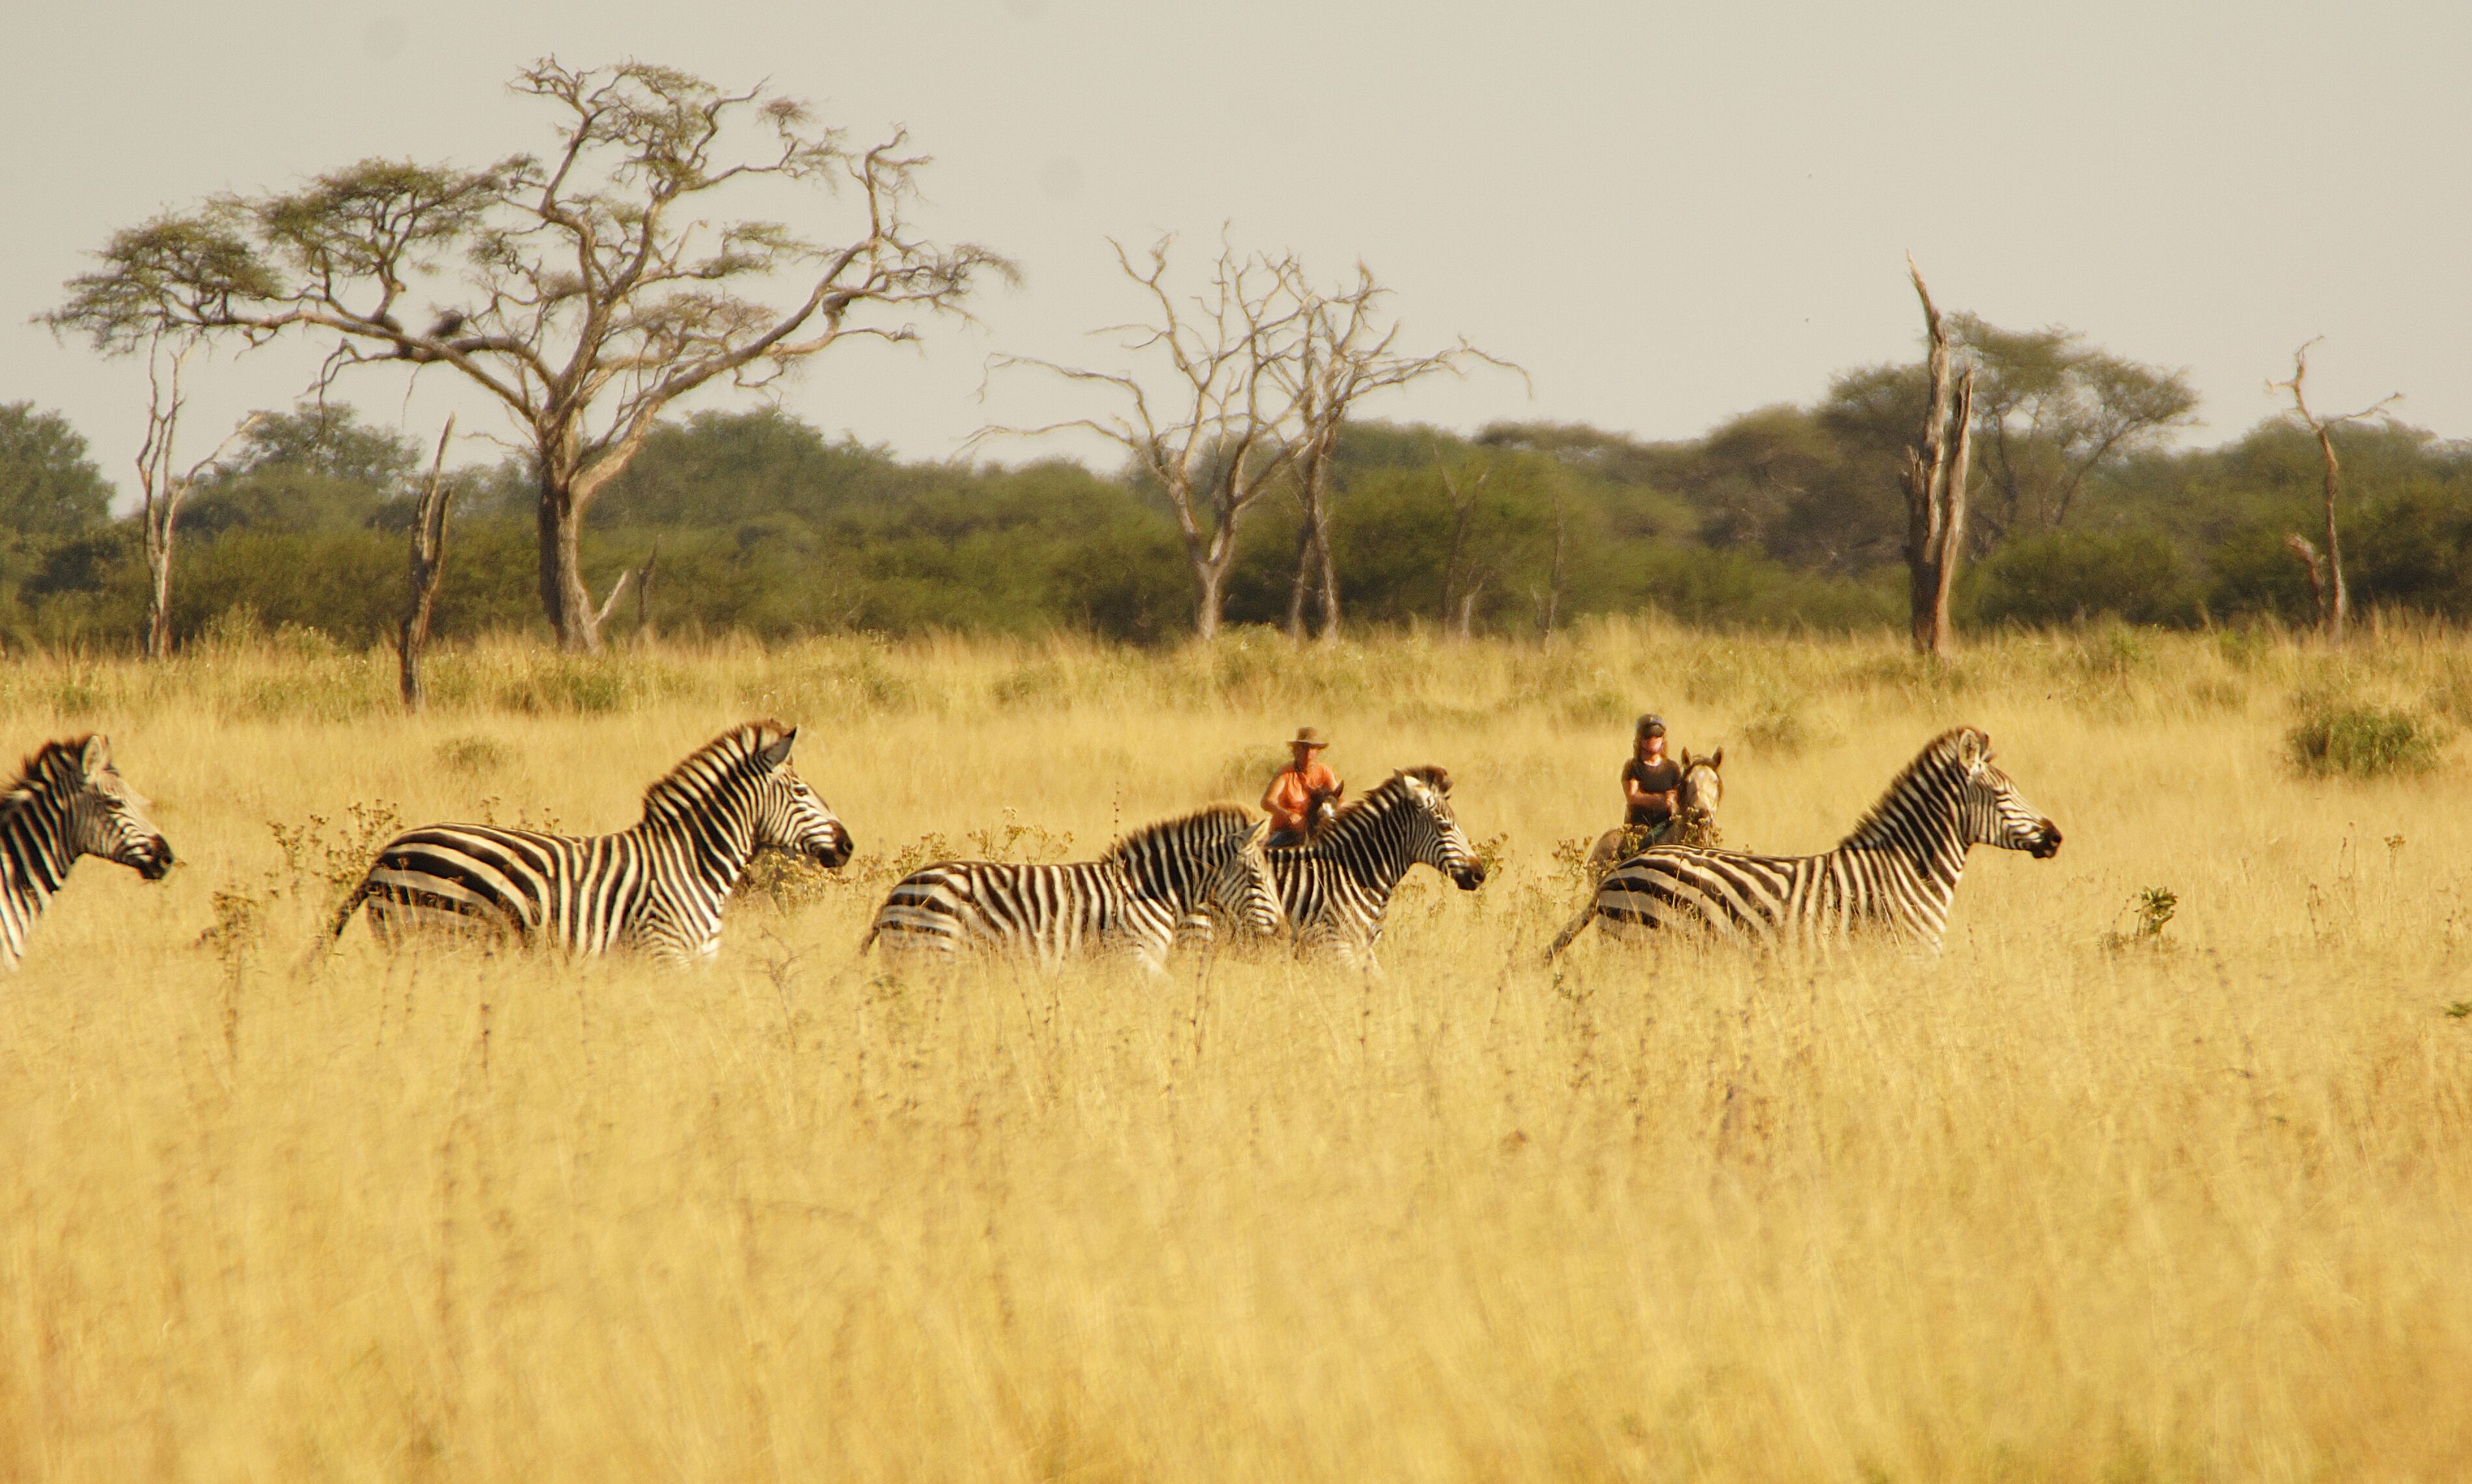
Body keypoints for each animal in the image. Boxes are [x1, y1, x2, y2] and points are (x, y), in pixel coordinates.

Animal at [329, 722, 855, 965]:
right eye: (801, 792)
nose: (848, 845)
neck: (694, 865)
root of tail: (386, 853)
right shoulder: (663, 956)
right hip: (432, 937)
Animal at [860, 801, 1275, 974]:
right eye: (1257, 879)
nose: (1280, 931)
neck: (1150, 892)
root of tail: (895, 892)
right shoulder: (1132, 957)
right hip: (933, 954)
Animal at [1265, 771, 1473, 969]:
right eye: (1445, 827)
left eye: (1338, 811)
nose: (1477, 873)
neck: (1353, 872)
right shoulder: (1330, 942)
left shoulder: (1360, 946)